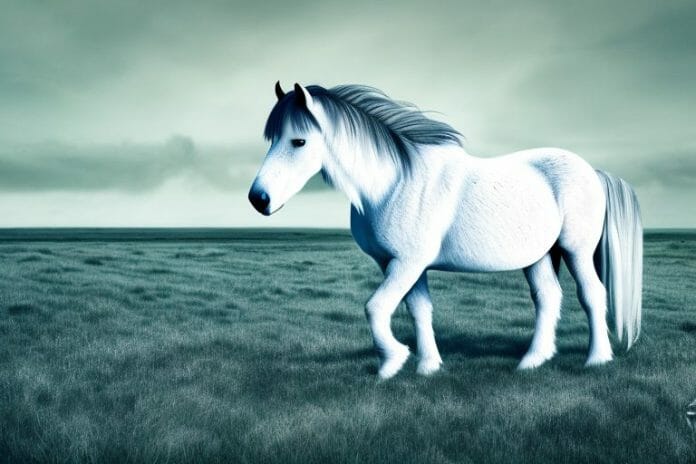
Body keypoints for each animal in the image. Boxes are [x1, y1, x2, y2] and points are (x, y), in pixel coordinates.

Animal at [249, 82, 643, 379]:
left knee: (592, 294)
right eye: (272, 139)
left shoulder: (407, 264)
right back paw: (532, 361)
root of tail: (592, 172)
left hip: (576, 250)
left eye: (299, 141)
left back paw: (596, 359)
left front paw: (392, 362)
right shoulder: (400, 264)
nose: (258, 199)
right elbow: (419, 310)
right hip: (538, 255)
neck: (394, 184)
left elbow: (376, 307)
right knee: (548, 298)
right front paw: (428, 366)